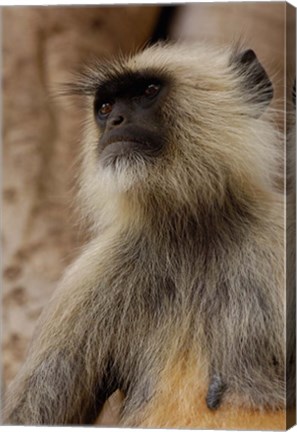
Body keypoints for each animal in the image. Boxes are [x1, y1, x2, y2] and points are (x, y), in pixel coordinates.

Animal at [2, 42, 284, 426]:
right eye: (106, 107)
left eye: (148, 91)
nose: (115, 122)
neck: (192, 231)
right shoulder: (89, 277)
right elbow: (31, 414)